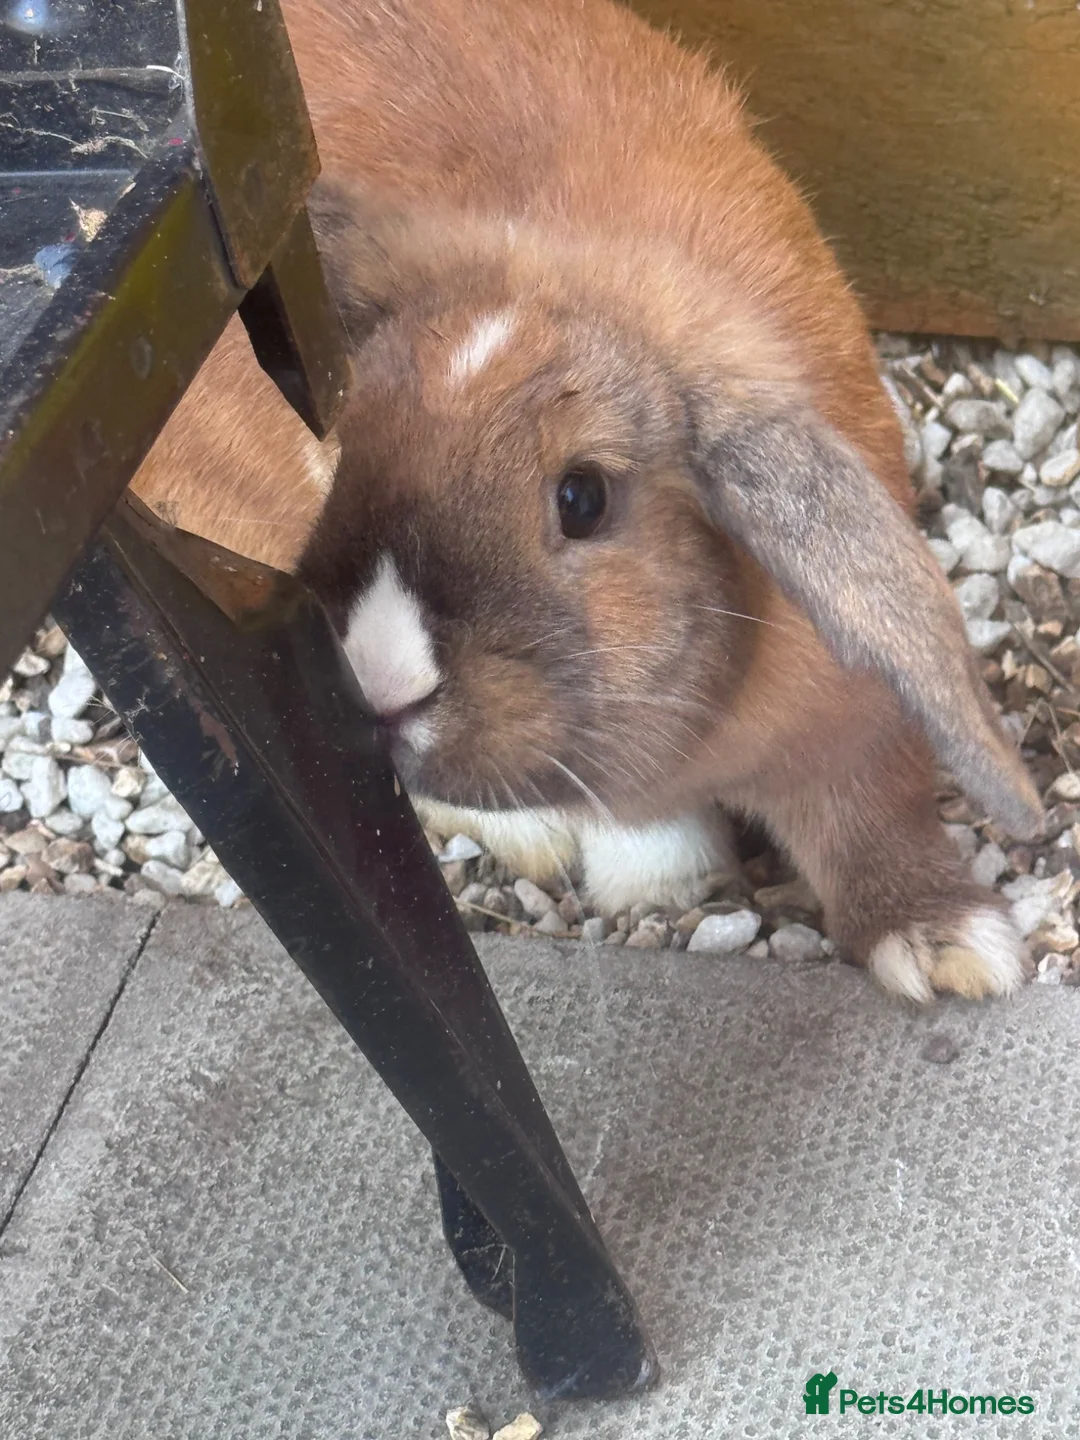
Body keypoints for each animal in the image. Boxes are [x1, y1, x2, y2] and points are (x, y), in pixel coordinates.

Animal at [133, 0, 1044, 1002]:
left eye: (582, 498)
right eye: (346, 448)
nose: (379, 686)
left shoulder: (855, 729)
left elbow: (872, 816)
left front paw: (949, 950)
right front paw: (661, 875)